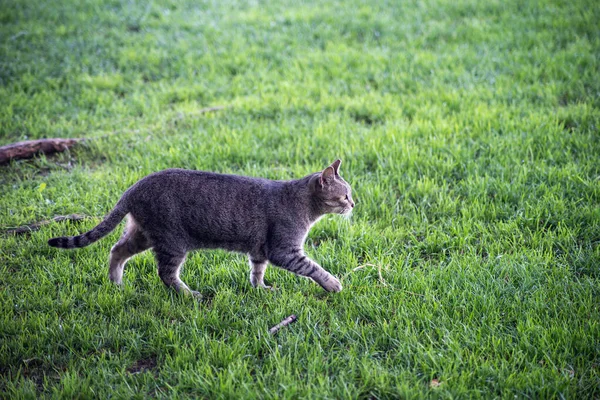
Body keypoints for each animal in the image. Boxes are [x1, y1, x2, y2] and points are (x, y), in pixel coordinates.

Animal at [50, 159, 356, 294]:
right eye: (344, 195)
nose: (354, 204)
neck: (302, 203)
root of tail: (134, 187)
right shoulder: (284, 249)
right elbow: (312, 268)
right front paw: (333, 284)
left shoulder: (260, 250)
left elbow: (257, 271)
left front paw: (260, 289)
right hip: (172, 241)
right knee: (165, 273)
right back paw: (188, 294)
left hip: (144, 234)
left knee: (116, 250)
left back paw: (116, 283)